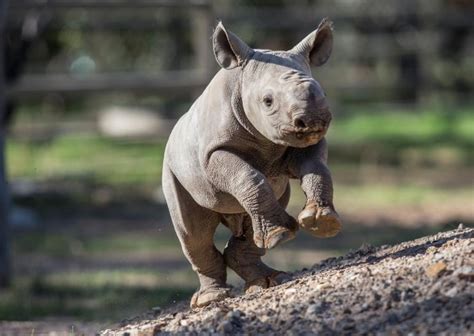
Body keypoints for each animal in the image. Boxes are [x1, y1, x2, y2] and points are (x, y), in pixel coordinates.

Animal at [162, 17, 340, 308]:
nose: (313, 120)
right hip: (172, 167)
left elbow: (317, 169)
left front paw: (321, 222)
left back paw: (271, 278)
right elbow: (247, 175)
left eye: (322, 91)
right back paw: (211, 299)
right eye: (268, 101)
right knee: (193, 232)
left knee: (256, 213)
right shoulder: (213, 152)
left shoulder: (304, 143)